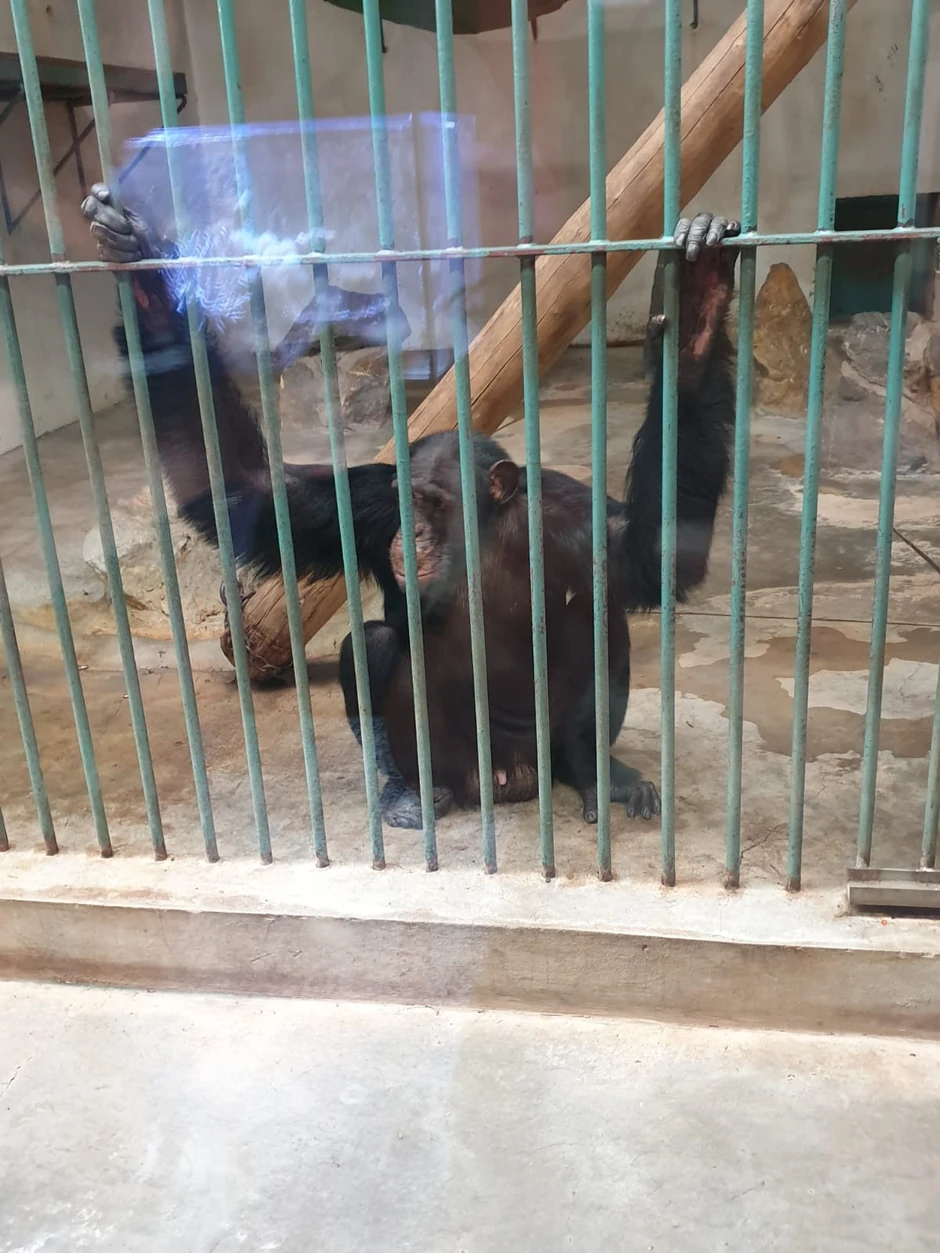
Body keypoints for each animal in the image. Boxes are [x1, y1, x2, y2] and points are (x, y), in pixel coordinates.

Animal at [83, 182, 737, 831]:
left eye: (434, 502)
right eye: (407, 502)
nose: (412, 534)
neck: (477, 534)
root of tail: (510, 780)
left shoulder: (568, 519)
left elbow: (653, 552)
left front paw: (697, 312)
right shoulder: (363, 504)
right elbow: (248, 488)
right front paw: (140, 270)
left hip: (543, 746)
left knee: (601, 622)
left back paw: (595, 774)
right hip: (455, 760)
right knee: (371, 646)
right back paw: (412, 793)